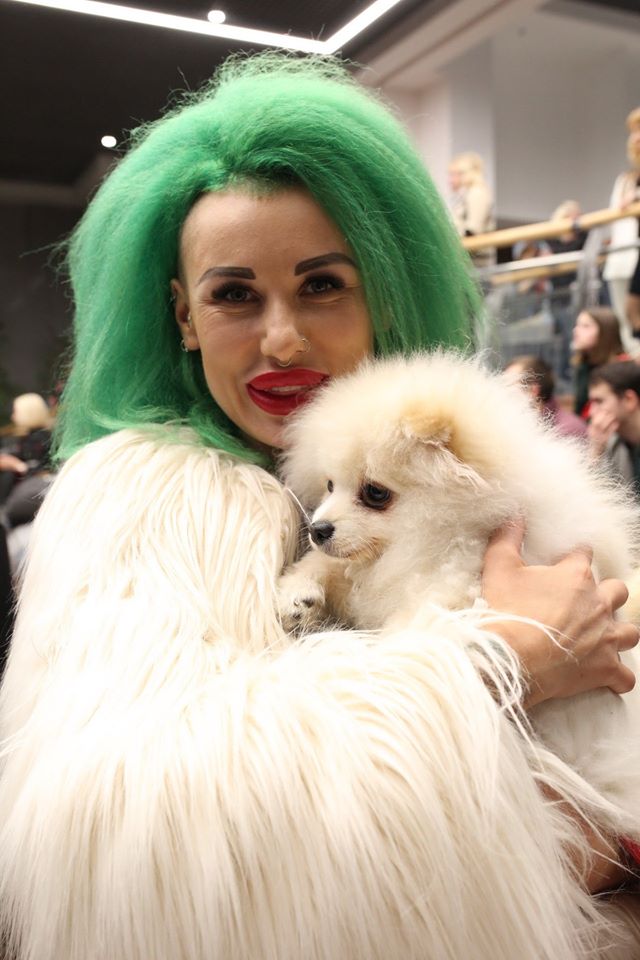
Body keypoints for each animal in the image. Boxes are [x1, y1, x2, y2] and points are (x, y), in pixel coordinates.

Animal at [278, 351, 640, 840]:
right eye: (330, 485)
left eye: (375, 493)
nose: (317, 528)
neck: (437, 538)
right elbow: (325, 567)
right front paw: (298, 598)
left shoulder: (452, 588)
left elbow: (412, 634)